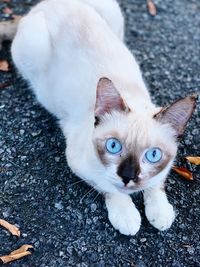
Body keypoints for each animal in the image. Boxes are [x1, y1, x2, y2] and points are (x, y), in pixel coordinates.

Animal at [4, 0, 195, 236]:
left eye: (153, 155)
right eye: (113, 146)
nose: (128, 176)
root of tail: (48, 3)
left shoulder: (163, 169)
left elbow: (155, 184)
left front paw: (160, 214)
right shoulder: (78, 163)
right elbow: (109, 188)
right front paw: (127, 216)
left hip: (112, 12)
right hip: (32, 45)